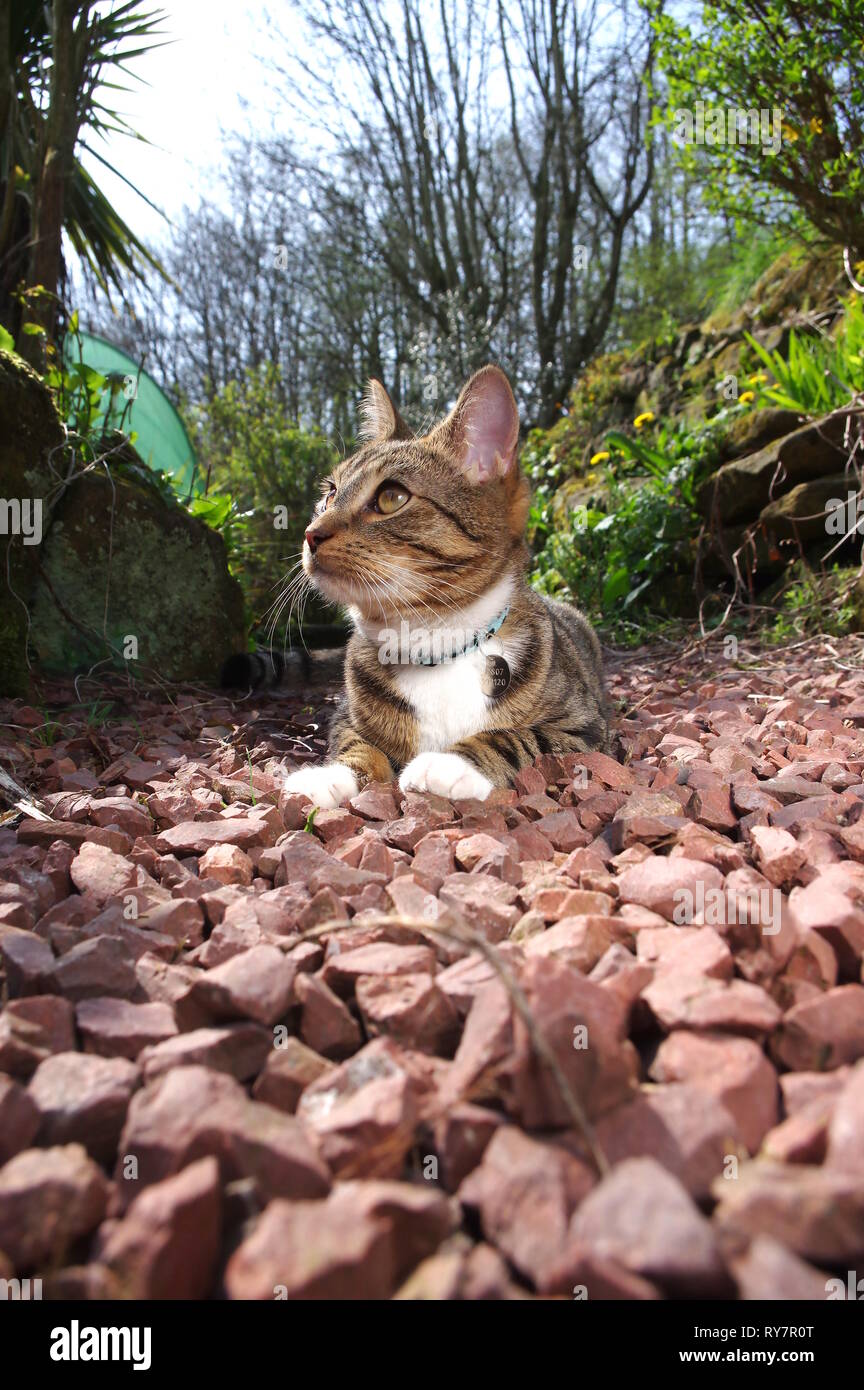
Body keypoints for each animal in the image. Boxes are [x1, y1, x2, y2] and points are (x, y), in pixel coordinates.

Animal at [284, 364, 608, 811]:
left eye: (391, 497)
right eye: (330, 494)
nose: (310, 533)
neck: (433, 639)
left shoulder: (585, 728)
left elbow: (519, 736)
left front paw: (451, 764)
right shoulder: (345, 716)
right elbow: (358, 744)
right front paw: (331, 775)